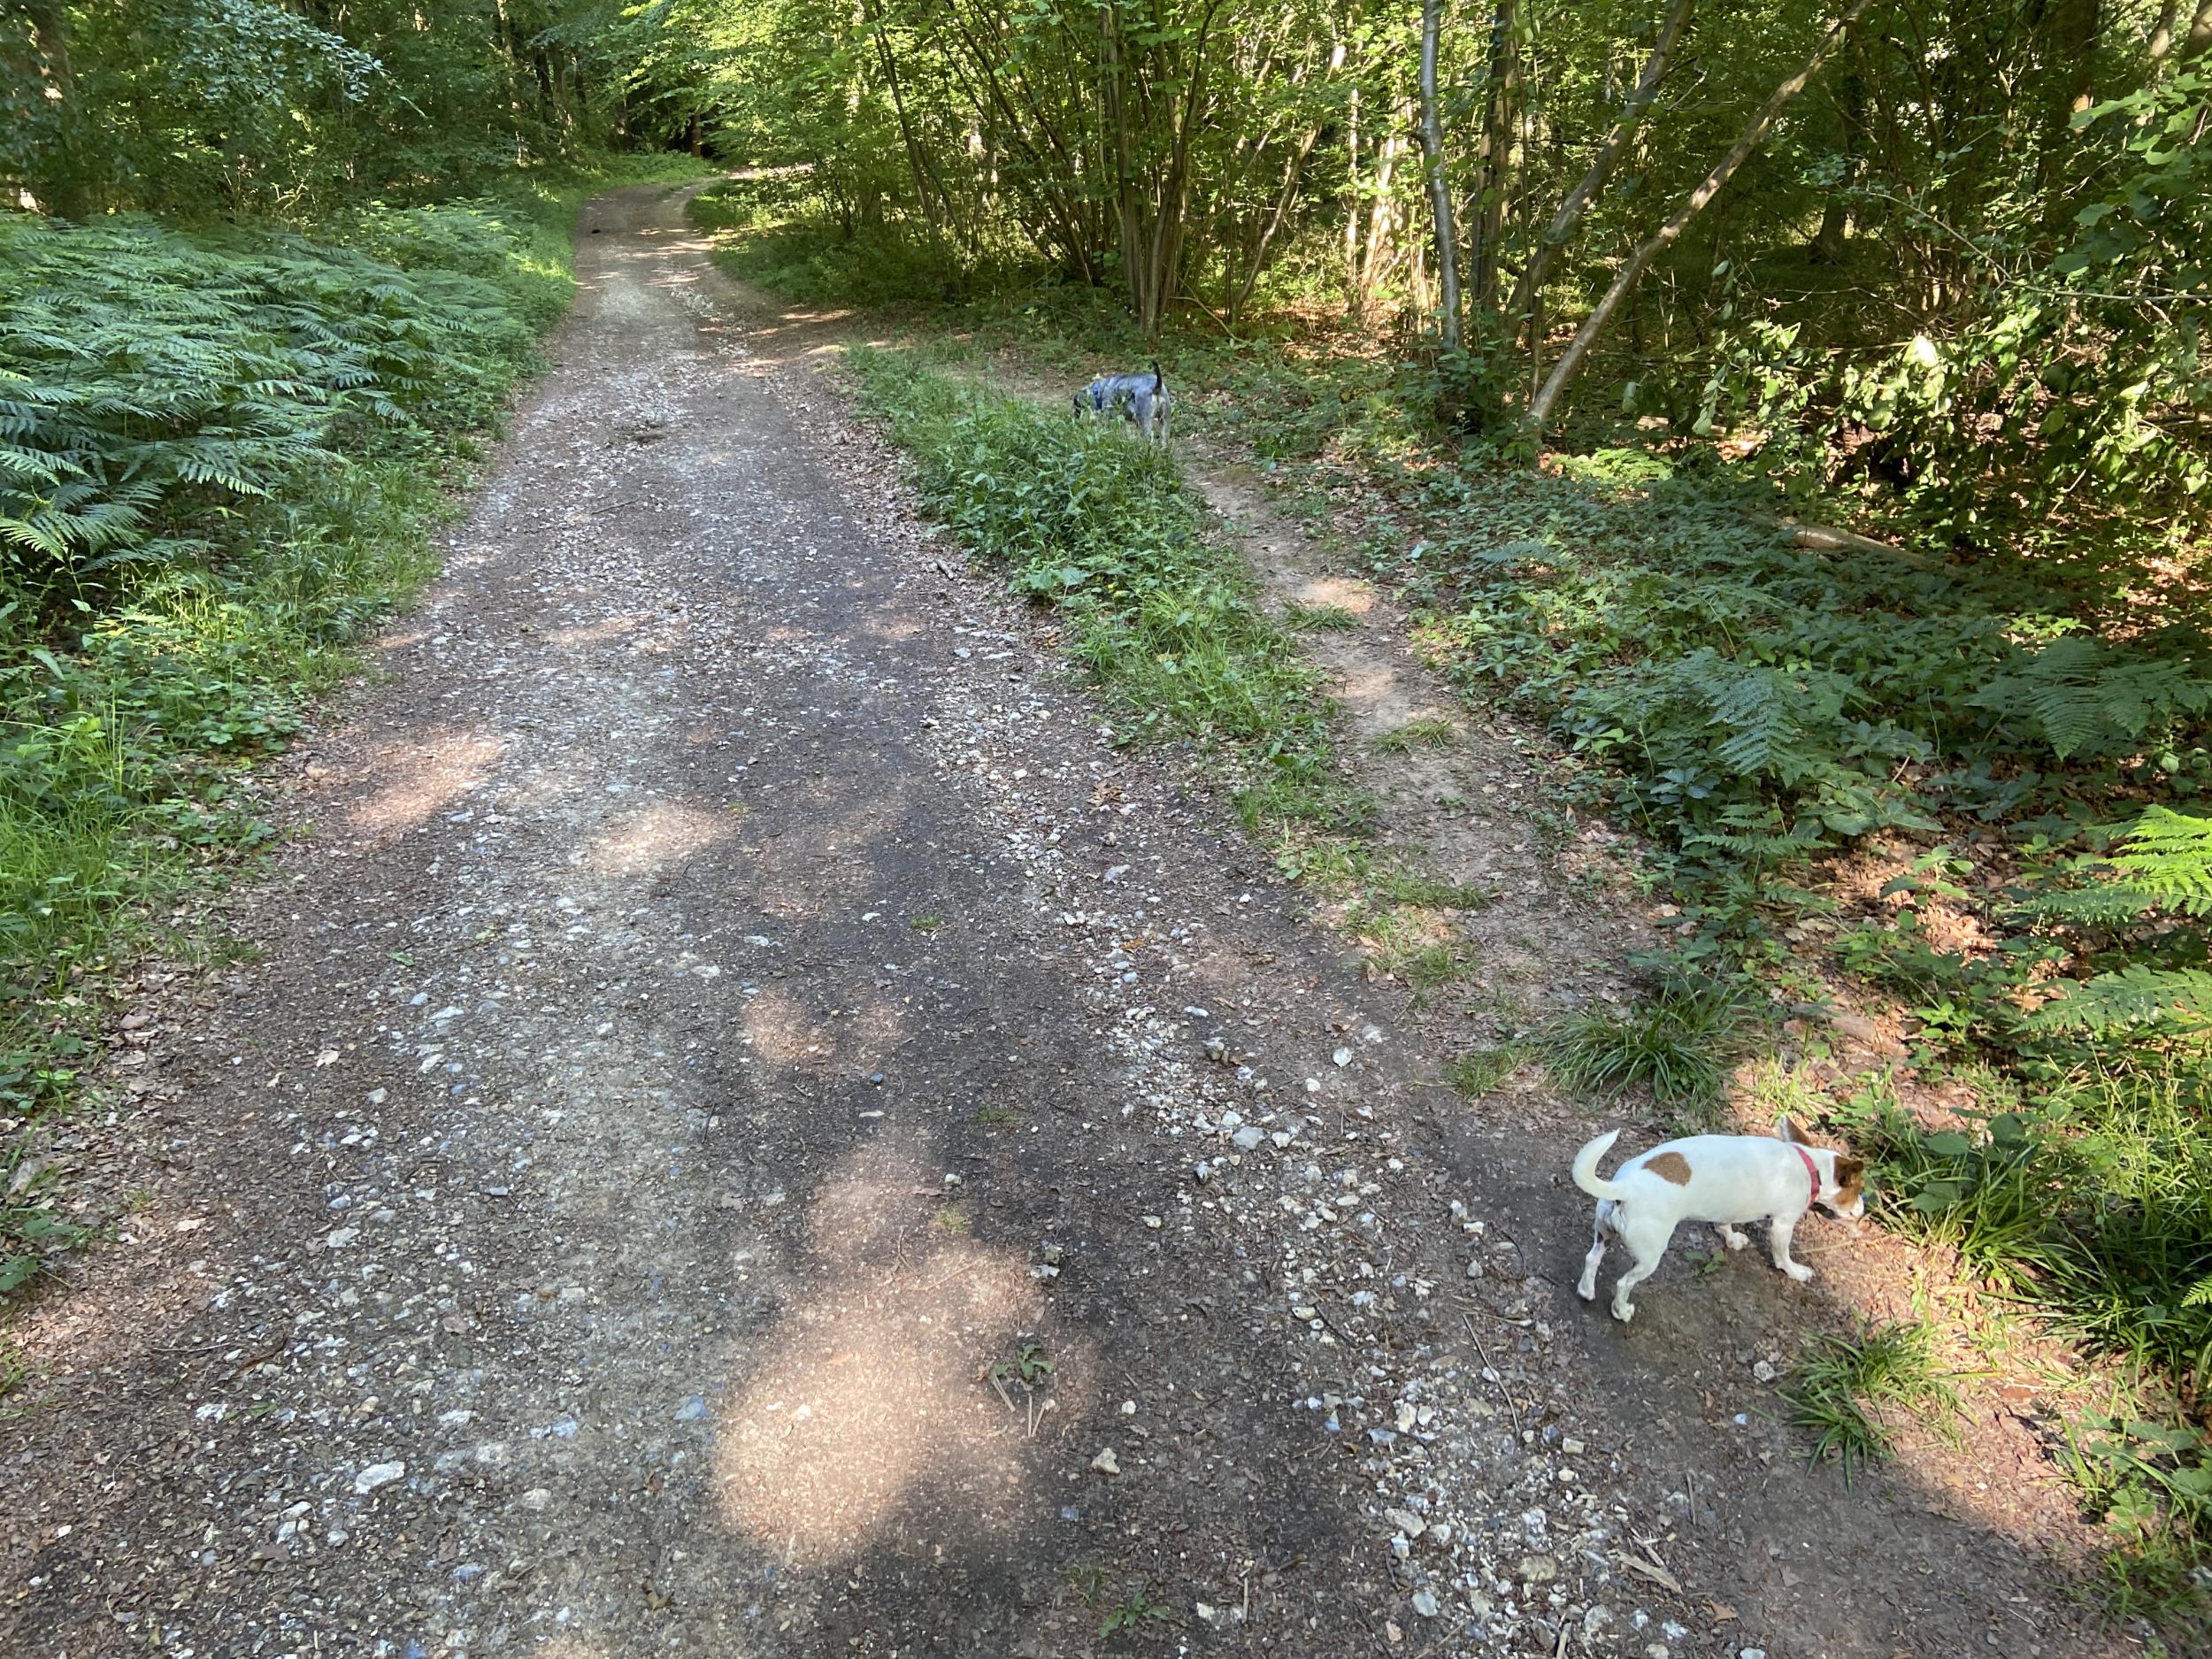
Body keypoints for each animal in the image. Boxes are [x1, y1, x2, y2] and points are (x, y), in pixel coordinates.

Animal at [1575, 1119, 1867, 1327]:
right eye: (1858, 1190)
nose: (1864, 1209)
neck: (1809, 1165)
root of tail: (1625, 1187)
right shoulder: (1783, 1225)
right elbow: (1783, 1256)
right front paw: (1796, 1272)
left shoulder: (1729, 1209)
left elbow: (1725, 1225)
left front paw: (1732, 1239)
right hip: (1649, 1257)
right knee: (1624, 1284)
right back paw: (1621, 1311)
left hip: (1603, 1233)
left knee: (1592, 1258)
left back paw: (1586, 1291)